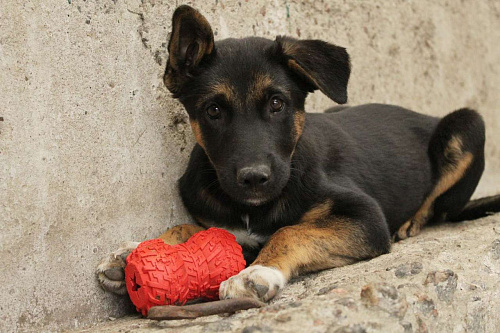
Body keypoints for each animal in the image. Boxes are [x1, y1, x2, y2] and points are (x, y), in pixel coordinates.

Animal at [97, 5, 500, 300]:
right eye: (213, 110)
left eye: (277, 103)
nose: (254, 178)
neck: (250, 208)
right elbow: (189, 227)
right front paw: (133, 251)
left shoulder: (366, 217)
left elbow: (291, 231)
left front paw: (257, 272)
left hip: (469, 124)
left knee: (437, 205)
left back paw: (411, 222)